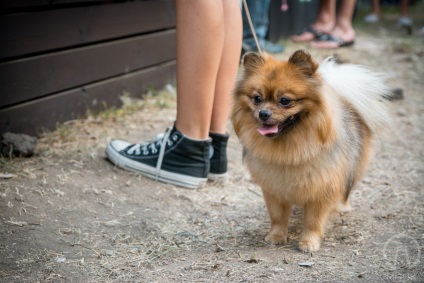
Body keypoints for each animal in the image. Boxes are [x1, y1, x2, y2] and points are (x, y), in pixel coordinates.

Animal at [232, 50, 390, 253]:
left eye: (285, 101)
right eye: (257, 98)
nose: (263, 113)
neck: (290, 148)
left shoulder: (321, 189)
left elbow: (313, 222)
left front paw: (308, 242)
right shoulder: (273, 188)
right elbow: (277, 217)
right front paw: (276, 236)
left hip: (353, 167)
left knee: (347, 188)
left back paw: (343, 207)